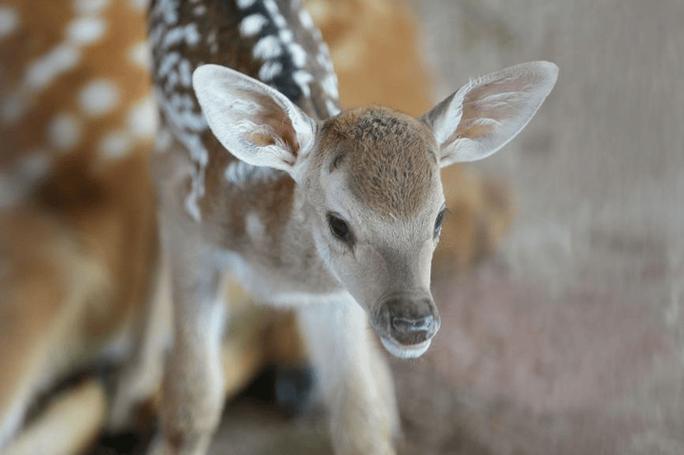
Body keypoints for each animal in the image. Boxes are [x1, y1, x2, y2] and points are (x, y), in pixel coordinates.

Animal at [147, 0, 558, 453]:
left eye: (439, 217)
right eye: (339, 224)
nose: (413, 324)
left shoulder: (334, 295)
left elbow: (359, 419)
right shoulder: (187, 219)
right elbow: (191, 400)